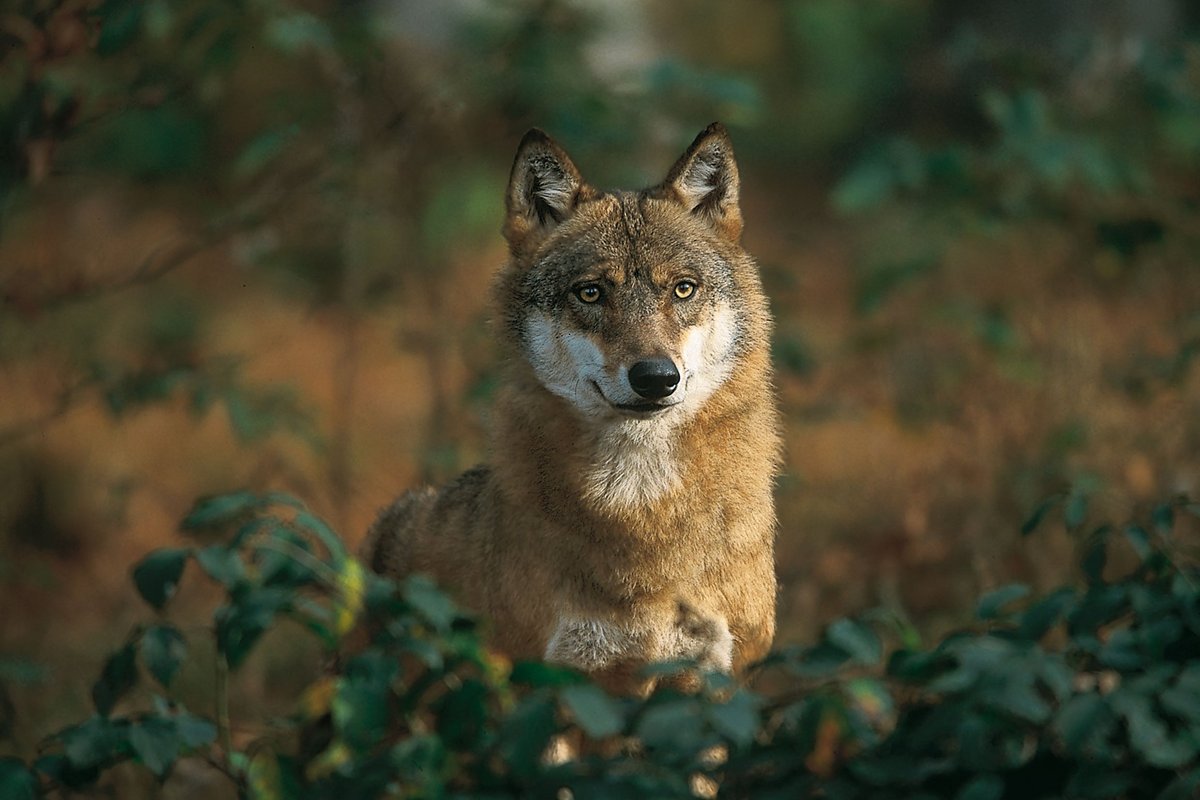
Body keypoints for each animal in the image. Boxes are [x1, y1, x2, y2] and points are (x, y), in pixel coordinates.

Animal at [365, 123, 780, 691]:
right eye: (590, 293)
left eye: (683, 289)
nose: (656, 378)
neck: (640, 506)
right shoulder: (550, 678)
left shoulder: (713, 680)